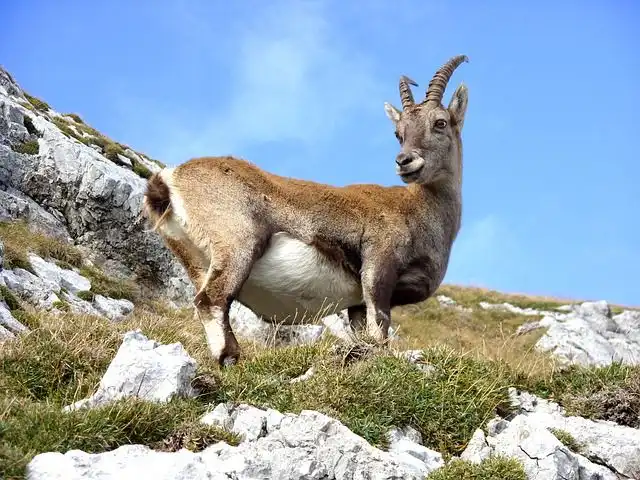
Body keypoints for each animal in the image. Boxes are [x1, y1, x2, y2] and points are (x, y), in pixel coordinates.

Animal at [143, 54, 469, 366]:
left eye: (440, 123)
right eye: (398, 132)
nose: (405, 161)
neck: (419, 210)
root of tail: (169, 179)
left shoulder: (357, 303)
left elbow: (363, 333)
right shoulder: (378, 266)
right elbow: (379, 327)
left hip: (195, 259)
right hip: (238, 243)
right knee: (211, 299)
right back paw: (231, 359)